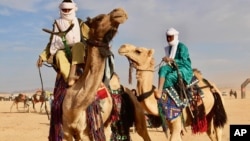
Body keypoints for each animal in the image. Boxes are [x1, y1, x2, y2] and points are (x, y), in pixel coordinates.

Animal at [61, 8, 129, 140]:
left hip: (106, 125)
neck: (75, 107)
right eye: (98, 18)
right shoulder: (66, 130)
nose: (120, 11)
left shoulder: (85, 133)